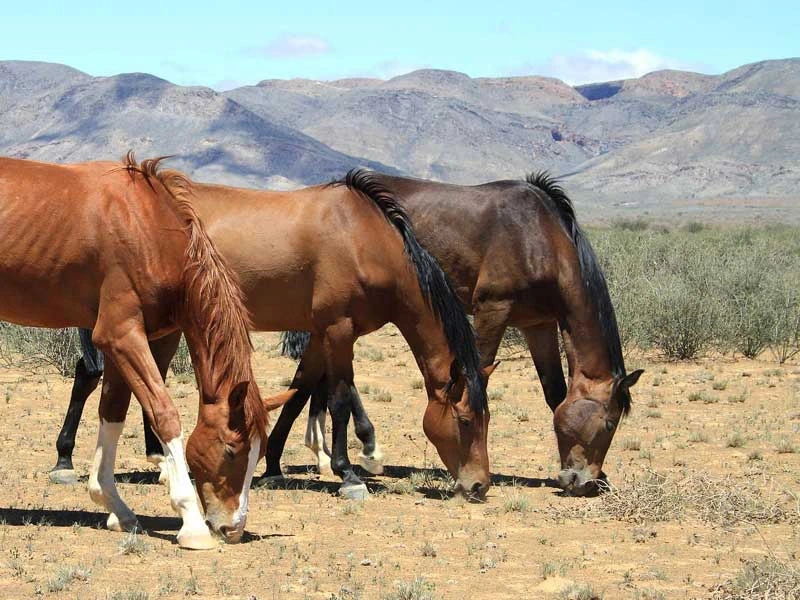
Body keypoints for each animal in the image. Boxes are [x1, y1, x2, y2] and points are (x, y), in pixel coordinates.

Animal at [0, 153, 268, 548]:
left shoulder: (122, 344)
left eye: (259, 454)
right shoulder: (121, 334)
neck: (146, 227)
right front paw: (192, 523)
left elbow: (113, 412)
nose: (233, 529)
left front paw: (114, 506)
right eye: (231, 449)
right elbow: (164, 413)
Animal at [51, 169, 492, 500]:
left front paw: (275, 463)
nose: (479, 486)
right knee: (100, 377)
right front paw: (351, 472)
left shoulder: (319, 334)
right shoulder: (339, 330)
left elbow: (298, 393)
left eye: (487, 419)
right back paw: (75, 462)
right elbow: (339, 399)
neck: (363, 239)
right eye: (466, 420)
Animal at [281, 172, 643, 496]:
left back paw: (324, 453)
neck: (537, 235)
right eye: (609, 424)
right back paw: (362, 451)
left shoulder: (537, 324)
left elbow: (555, 395)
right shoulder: (492, 310)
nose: (585, 482)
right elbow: (478, 377)